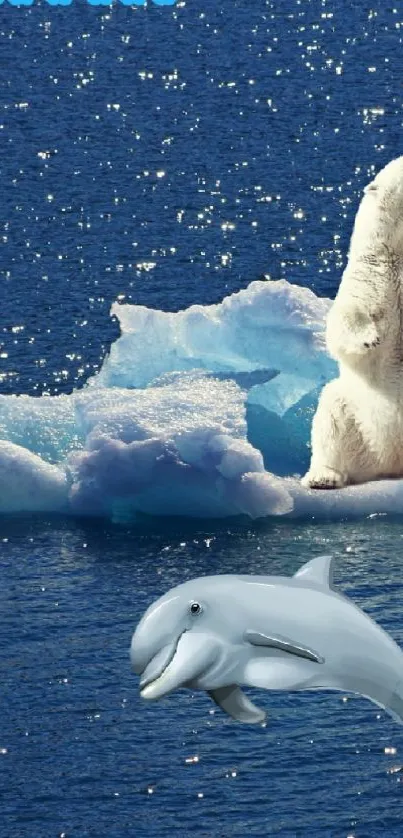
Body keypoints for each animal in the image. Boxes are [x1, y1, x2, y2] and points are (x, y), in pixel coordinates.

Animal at [302, 154, 403, 488]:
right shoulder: (375, 271)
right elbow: (349, 313)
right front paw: (369, 338)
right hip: (357, 414)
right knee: (331, 417)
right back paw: (323, 477)